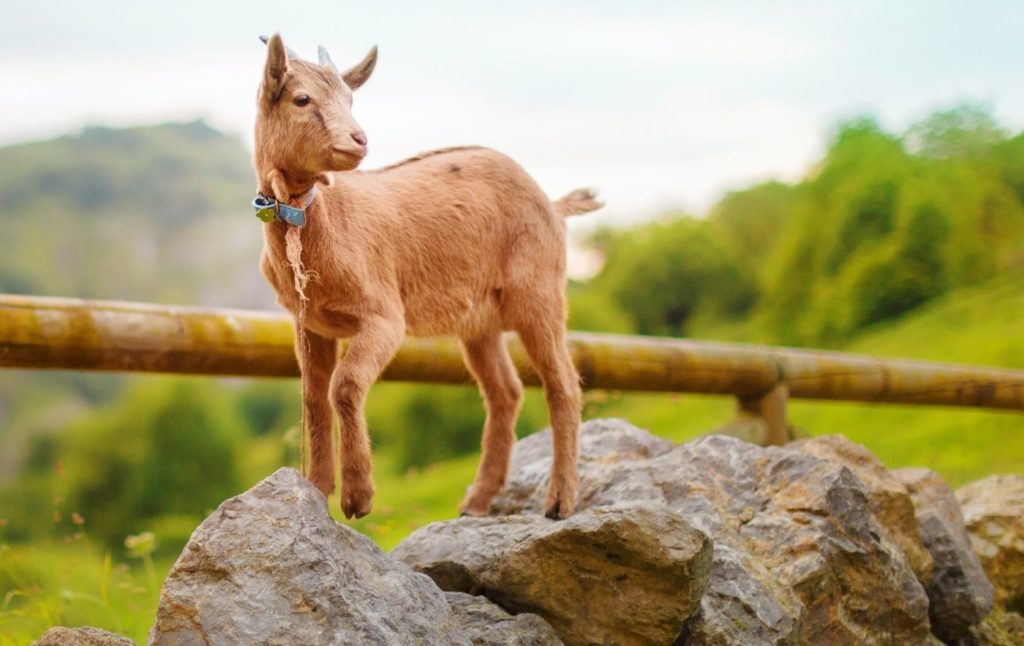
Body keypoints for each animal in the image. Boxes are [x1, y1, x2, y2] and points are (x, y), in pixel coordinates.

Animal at [249, 34, 598, 520]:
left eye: (351, 98)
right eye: (302, 99)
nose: (359, 140)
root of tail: (553, 203)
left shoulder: (384, 315)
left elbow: (345, 385)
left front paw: (358, 498)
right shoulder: (311, 324)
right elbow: (312, 399)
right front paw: (316, 489)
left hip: (539, 291)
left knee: (562, 383)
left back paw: (559, 502)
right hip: (481, 321)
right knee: (505, 391)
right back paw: (477, 501)